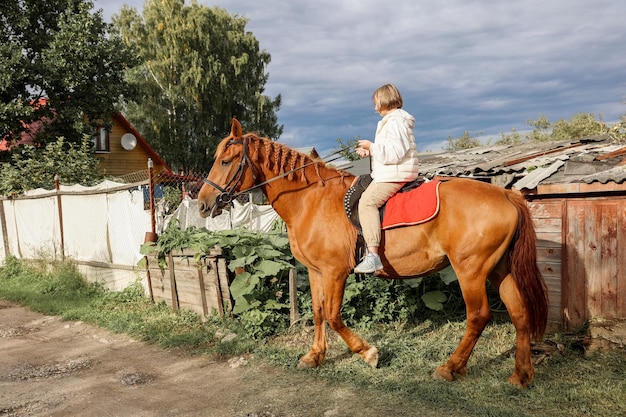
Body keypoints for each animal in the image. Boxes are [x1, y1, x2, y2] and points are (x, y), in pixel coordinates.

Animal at [199, 118, 544, 386]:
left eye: (226, 161)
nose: (202, 203)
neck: (312, 200)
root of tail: (507, 194)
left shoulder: (336, 272)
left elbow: (334, 316)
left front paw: (368, 353)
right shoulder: (316, 271)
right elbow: (319, 312)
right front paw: (315, 356)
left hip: (470, 271)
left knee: (478, 316)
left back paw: (450, 367)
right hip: (499, 270)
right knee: (520, 314)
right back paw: (521, 375)